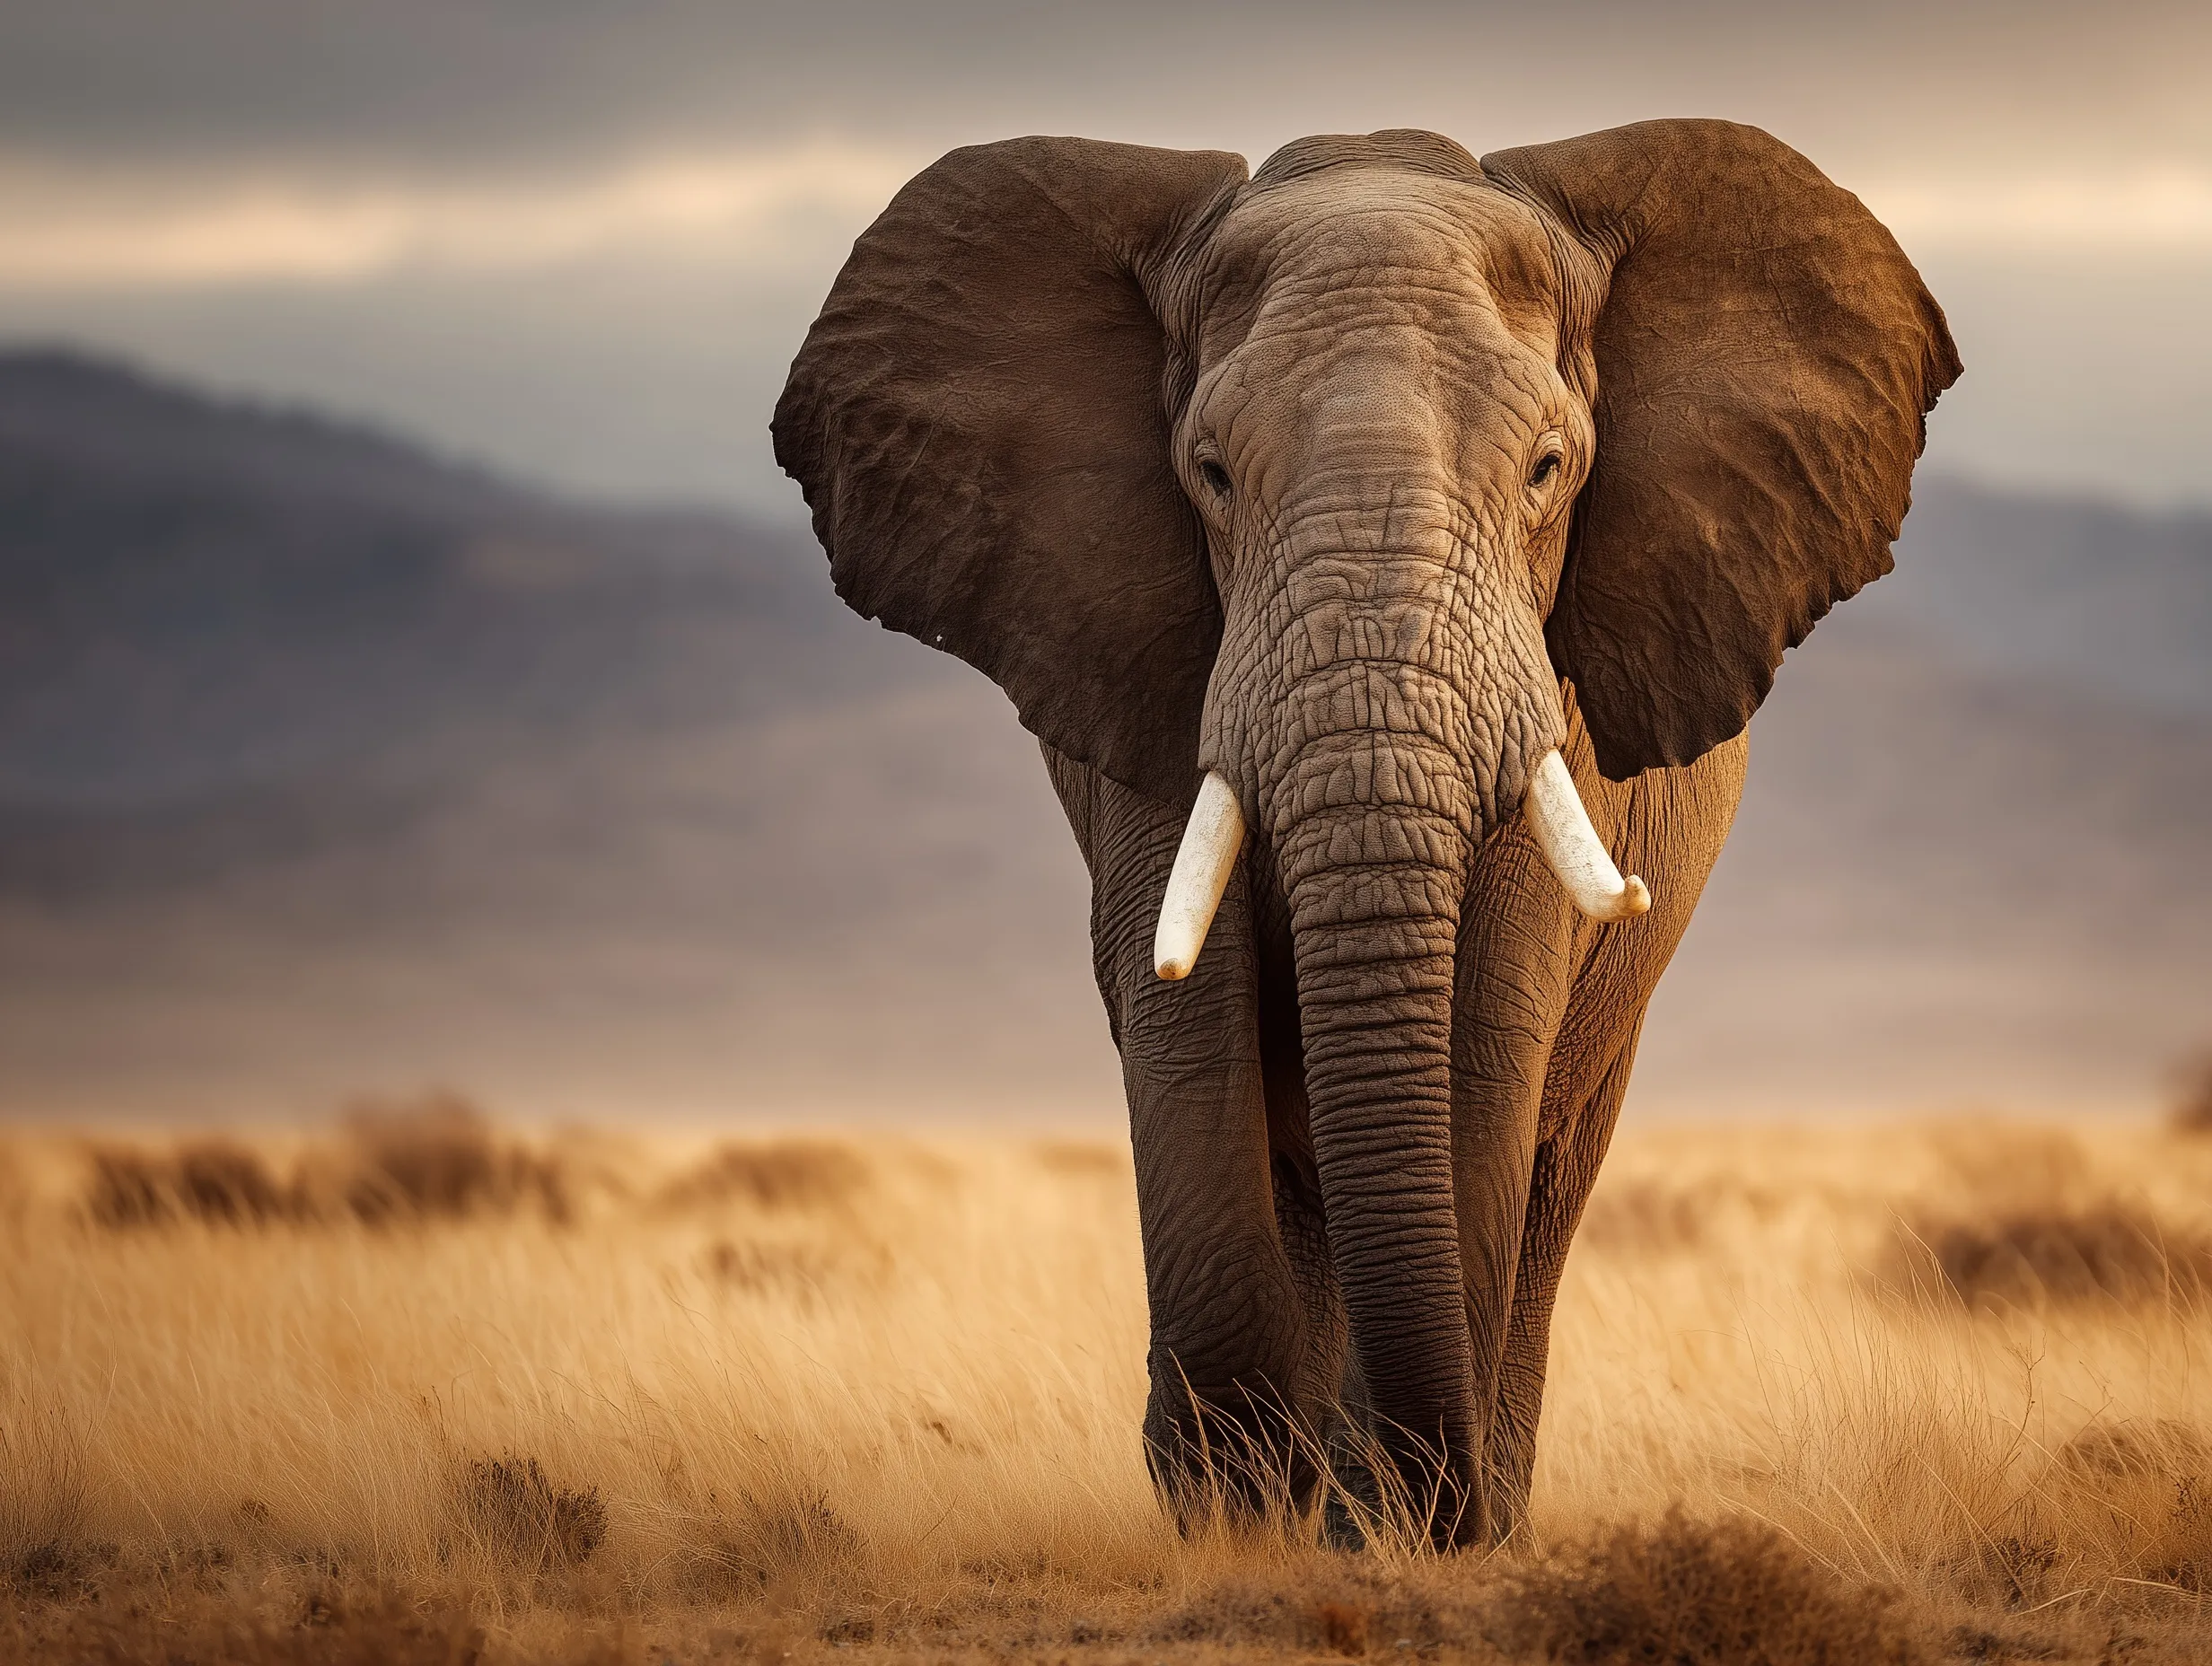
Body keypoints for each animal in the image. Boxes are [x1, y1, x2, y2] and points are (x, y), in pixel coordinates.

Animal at [773, 119, 1958, 1548]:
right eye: (1211, 475)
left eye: (1549, 471)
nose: (1426, 1494)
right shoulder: (1150, 664)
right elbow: (1180, 1006)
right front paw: (1239, 1518)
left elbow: (1489, 1025)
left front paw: (1389, 1529)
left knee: (1552, 1172)